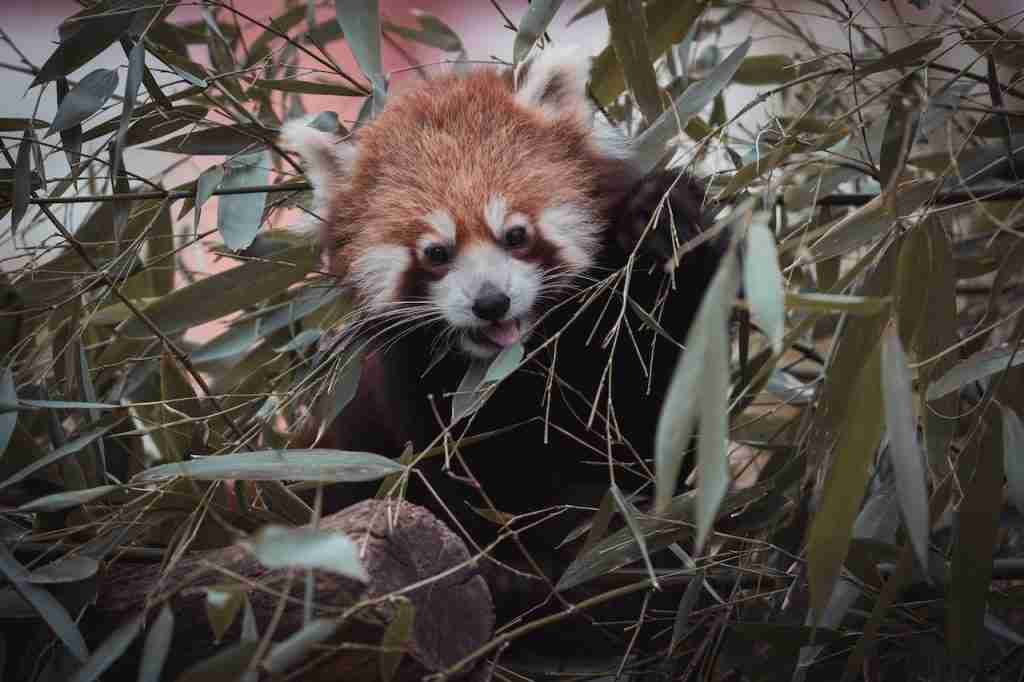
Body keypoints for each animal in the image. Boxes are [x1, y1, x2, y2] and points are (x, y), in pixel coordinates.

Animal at [280, 45, 724, 569]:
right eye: (436, 253)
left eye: (515, 235)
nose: (491, 302)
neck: (520, 367)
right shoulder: (416, 399)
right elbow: (477, 486)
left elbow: (660, 409)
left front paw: (662, 217)